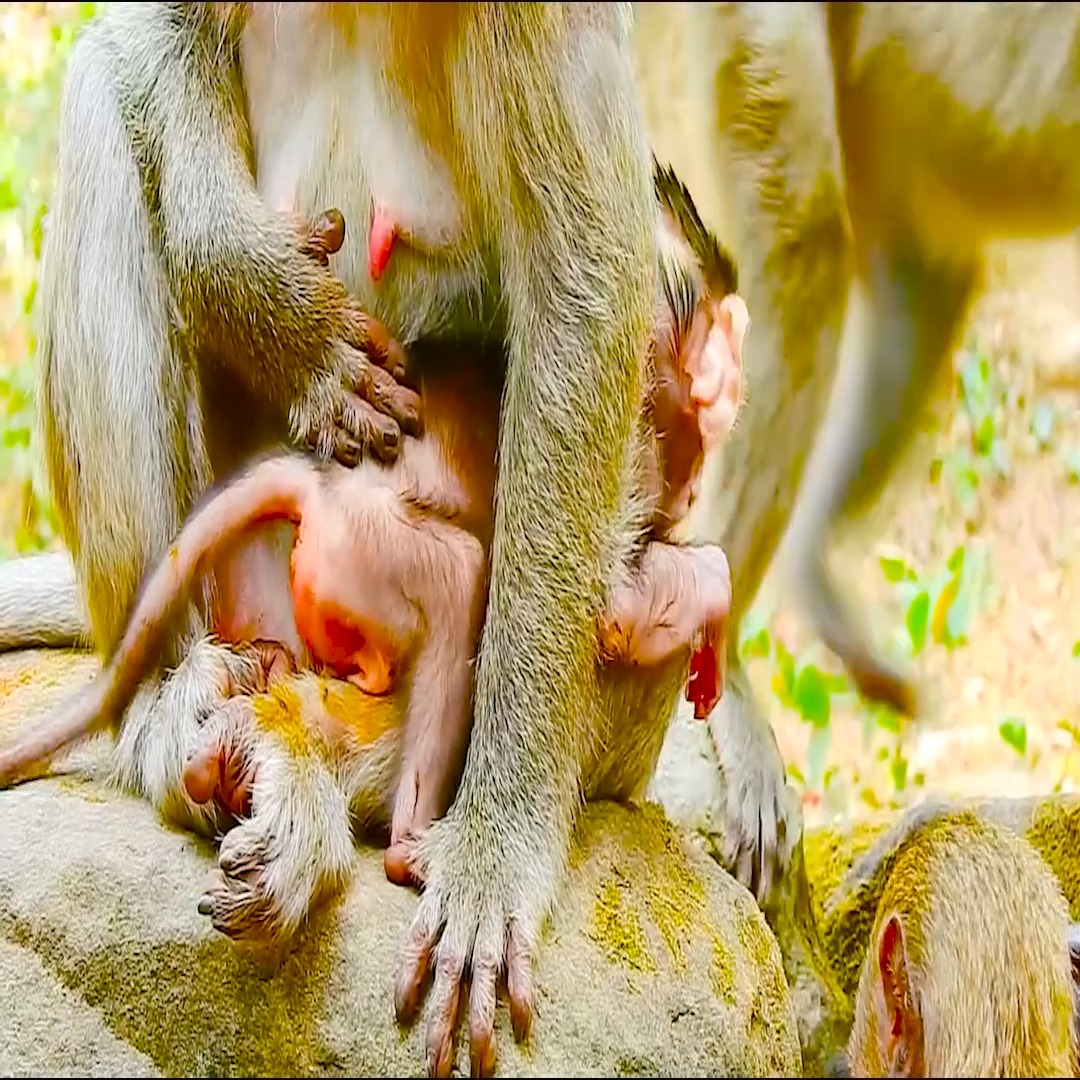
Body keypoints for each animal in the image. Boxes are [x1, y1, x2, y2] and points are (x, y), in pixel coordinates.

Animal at [1, 157, 748, 905]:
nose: (693, 484)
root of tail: (316, 483)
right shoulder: (632, 421)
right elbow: (609, 607)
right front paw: (710, 592)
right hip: (364, 549)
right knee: (459, 577)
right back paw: (403, 835)